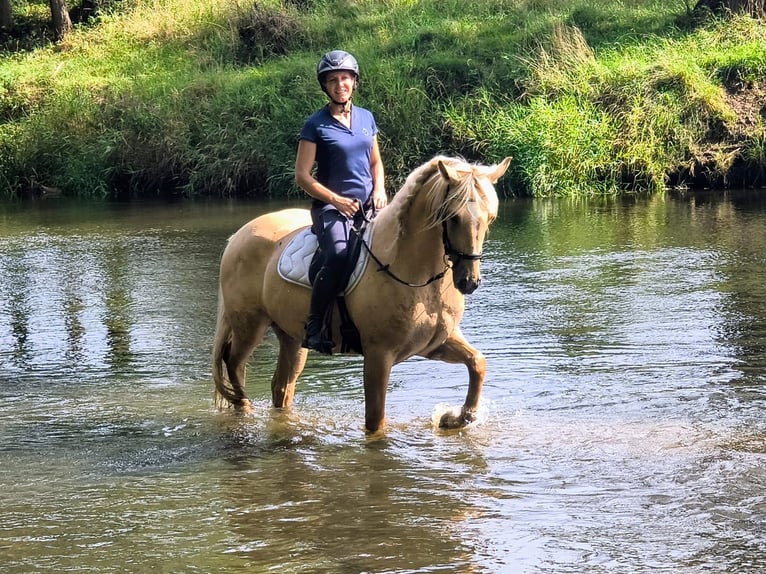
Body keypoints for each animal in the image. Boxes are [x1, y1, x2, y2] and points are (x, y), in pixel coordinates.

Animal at [212, 155, 512, 433]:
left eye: (490, 218)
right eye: (453, 217)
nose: (469, 281)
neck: (416, 277)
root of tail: (239, 234)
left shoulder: (435, 343)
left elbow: (478, 362)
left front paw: (455, 418)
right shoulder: (379, 355)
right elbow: (376, 422)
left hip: (292, 337)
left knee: (281, 387)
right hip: (249, 325)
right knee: (233, 364)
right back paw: (244, 407)